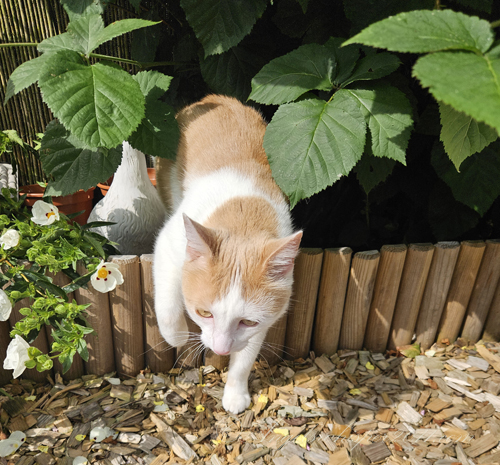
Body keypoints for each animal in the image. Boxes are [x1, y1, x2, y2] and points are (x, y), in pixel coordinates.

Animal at [153, 95, 302, 414]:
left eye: (247, 321)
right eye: (204, 313)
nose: (220, 348)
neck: (245, 213)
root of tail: (214, 99)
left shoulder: (266, 318)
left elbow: (246, 356)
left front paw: (235, 393)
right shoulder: (168, 244)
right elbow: (168, 305)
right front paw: (176, 335)